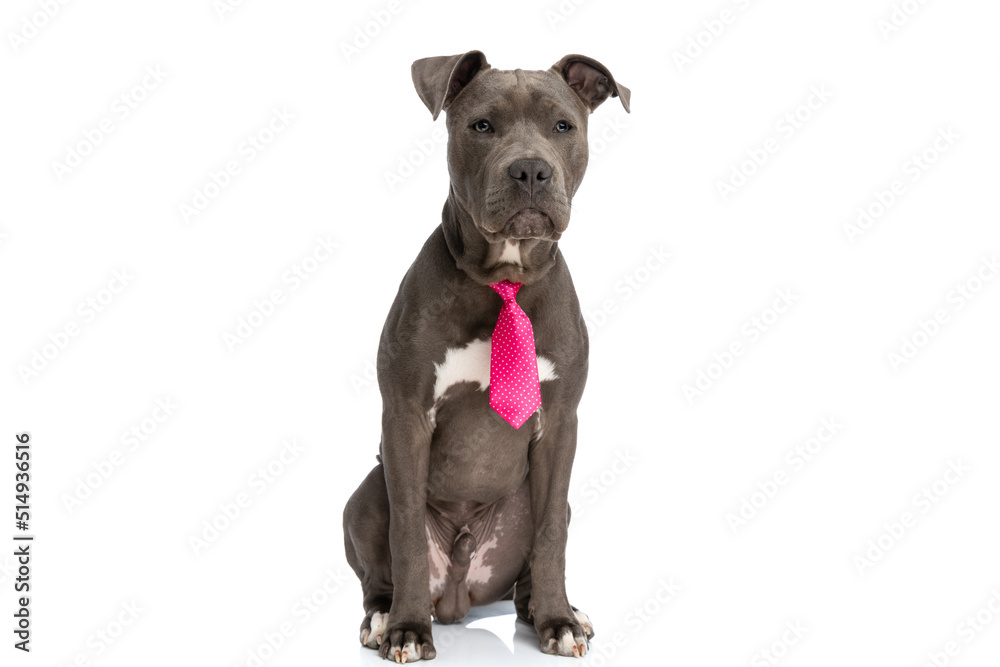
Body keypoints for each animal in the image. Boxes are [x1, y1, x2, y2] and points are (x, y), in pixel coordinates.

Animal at [340, 48, 628, 664]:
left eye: (562, 126)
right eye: (482, 126)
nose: (530, 170)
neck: (504, 280)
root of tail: (458, 595)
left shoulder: (560, 423)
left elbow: (551, 534)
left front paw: (556, 621)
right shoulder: (405, 416)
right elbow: (406, 535)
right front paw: (407, 630)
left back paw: (550, 609)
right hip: (366, 490)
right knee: (379, 569)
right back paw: (385, 615)